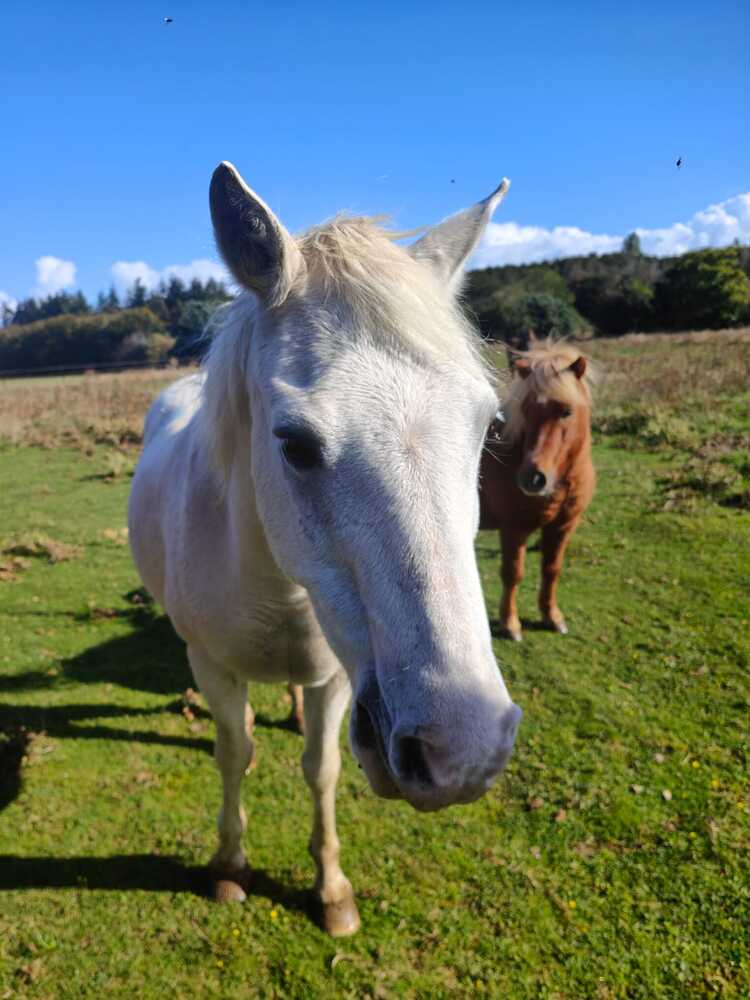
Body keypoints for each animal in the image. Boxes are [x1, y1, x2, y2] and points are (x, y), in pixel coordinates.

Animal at [129, 160, 524, 932]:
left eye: (490, 427)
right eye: (294, 443)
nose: (462, 750)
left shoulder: (343, 678)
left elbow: (323, 770)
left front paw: (332, 888)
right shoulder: (210, 665)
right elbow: (233, 753)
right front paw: (229, 867)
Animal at [482, 342, 600, 640]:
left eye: (566, 411)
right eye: (525, 409)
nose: (532, 478)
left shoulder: (562, 527)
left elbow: (552, 569)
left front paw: (552, 617)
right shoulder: (514, 529)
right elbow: (512, 574)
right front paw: (510, 624)